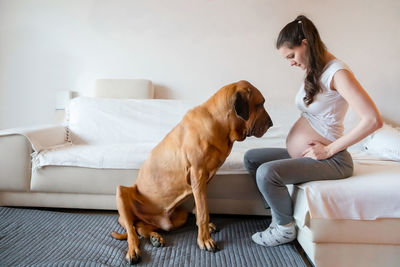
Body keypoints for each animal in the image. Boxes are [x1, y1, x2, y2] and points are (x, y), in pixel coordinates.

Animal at [111, 80, 274, 264]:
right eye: (260, 104)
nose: (271, 124)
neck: (219, 123)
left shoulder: (203, 180)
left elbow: (199, 208)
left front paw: (204, 228)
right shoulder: (198, 174)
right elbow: (203, 212)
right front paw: (205, 240)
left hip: (177, 216)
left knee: (141, 228)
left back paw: (154, 237)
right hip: (122, 193)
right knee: (132, 231)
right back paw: (134, 250)